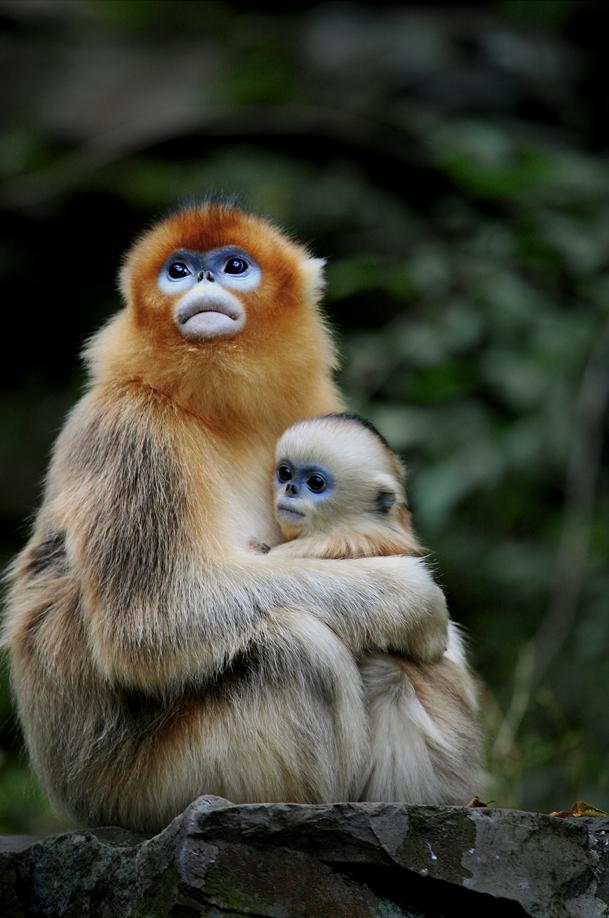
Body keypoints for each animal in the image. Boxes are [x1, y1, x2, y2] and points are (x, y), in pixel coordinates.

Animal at [2, 196, 448, 832]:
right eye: (179, 270)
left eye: (235, 265)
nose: (205, 279)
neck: (214, 408)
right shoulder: (132, 429)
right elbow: (154, 619)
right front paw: (412, 599)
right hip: (141, 791)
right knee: (295, 649)